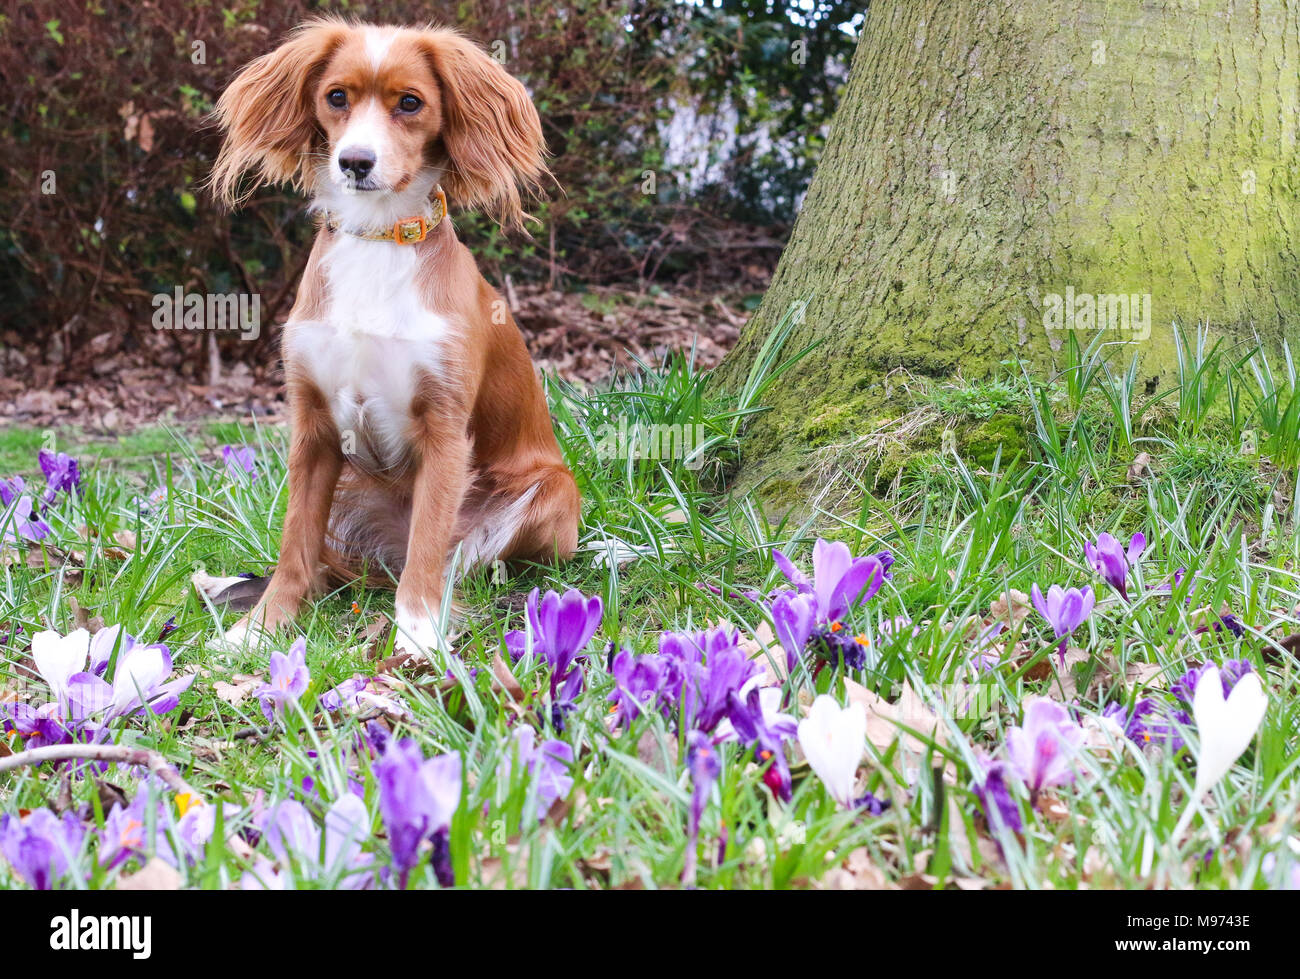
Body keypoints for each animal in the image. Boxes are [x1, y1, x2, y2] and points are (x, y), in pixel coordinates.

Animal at [209, 19, 579, 652]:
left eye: (410, 103)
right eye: (336, 97)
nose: (355, 161)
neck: (378, 238)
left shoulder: (445, 428)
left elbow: (427, 550)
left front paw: (417, 639)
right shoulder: (313, 429)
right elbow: (293, 546)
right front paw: (260, 629)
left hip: (555, 493)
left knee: (463, 559)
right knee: (331, 564)